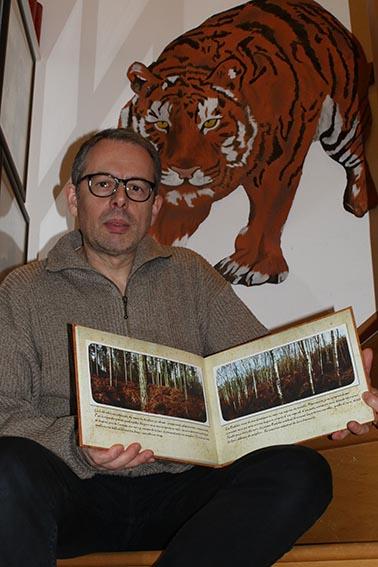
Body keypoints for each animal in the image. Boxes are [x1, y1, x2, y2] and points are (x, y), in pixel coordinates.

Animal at [119, 0, 376, 284]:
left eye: (210, 123)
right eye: (162, 124)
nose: (184, 171)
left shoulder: (279, 163)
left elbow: (268, 214)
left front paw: (252, 265)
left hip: (342, 127)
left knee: (357, 157)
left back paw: (361, 203)